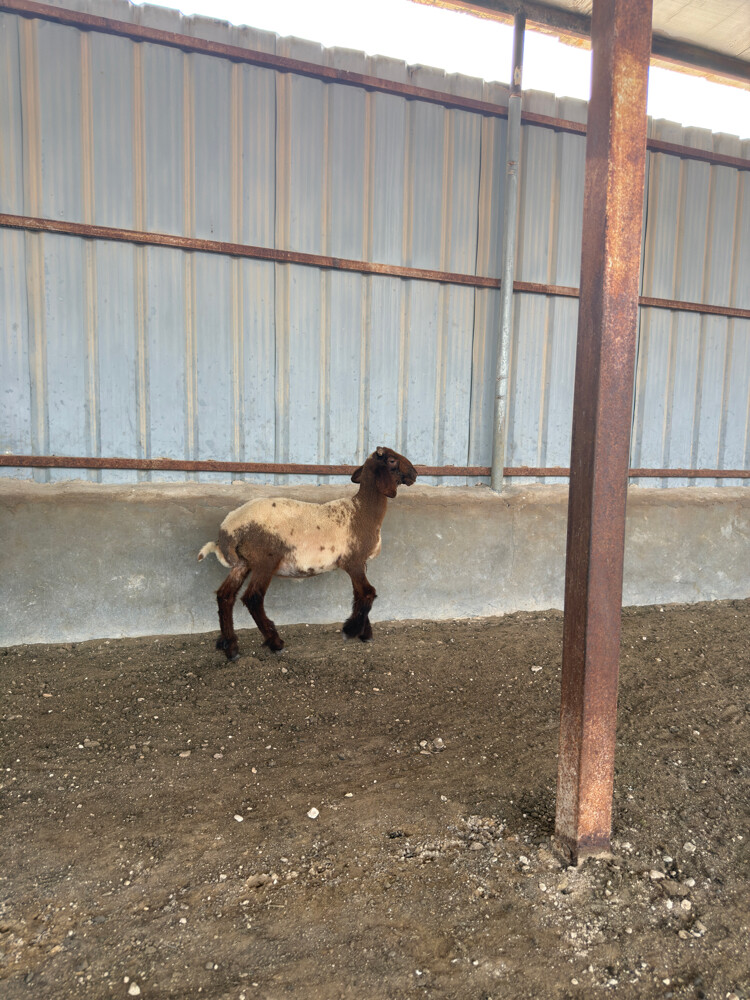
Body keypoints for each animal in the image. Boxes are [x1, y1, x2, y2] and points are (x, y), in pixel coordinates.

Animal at [198, 446, 417, 659]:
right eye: (391, 460)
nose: (415, 473)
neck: (362, 511)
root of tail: (228, 530)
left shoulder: (360, 563)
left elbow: (359, 595)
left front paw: (365, 633)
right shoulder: (353, 561)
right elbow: (367, 593)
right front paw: (351, 630)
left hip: (243, 563)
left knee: (225, 596)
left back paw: (230, 647)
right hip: (264, 561)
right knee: (253, 598)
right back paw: (275, 643)